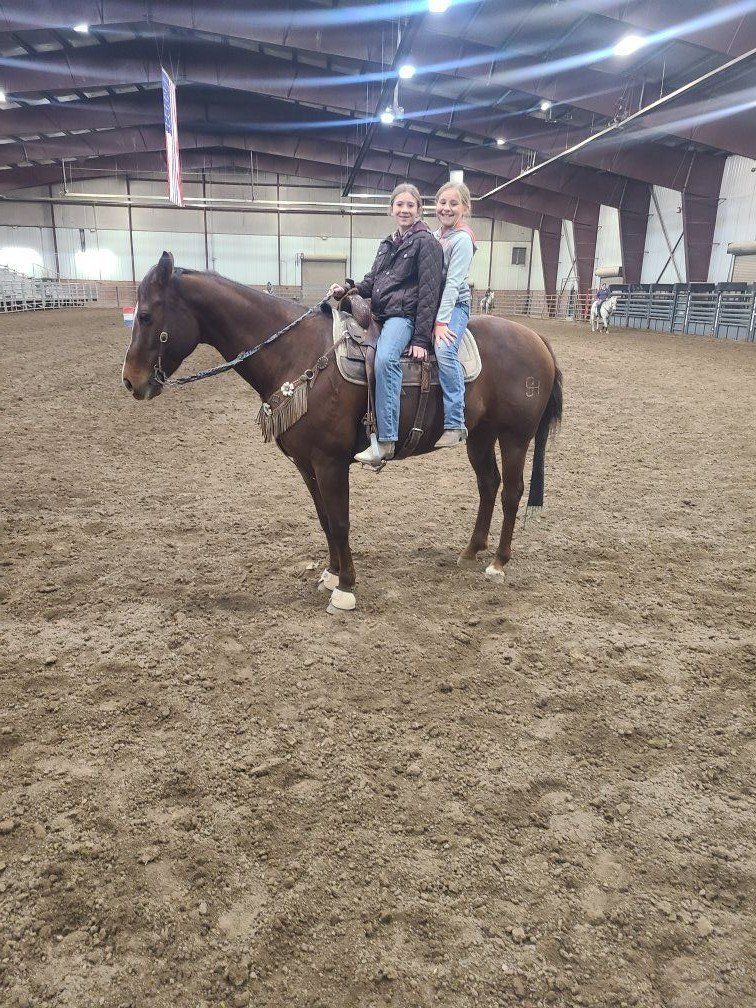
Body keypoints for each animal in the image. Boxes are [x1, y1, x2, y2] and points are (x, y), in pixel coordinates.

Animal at [121, 252, 562, 615]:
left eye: (146, 317)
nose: (131, 382)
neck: (295, 353)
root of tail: (537, 339)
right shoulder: (306, 464)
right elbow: (324, 519)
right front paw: (332, 573)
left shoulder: (331, 462)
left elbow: (341, 520)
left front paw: (346, 588)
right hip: (480, 437)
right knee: (488, 485)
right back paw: (471, 551)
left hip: (515, 437)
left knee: (510, 492)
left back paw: (498, 563)